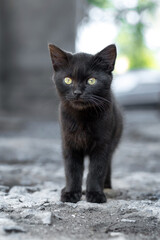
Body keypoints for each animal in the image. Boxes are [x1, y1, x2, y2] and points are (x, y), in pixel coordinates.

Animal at [48, 43, 122, 202]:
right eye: (68, 80)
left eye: (91, 80)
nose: (77, 92)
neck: (82, 117)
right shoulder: (69, 144)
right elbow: (72, 169)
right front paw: (70, 193)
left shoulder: (103, 144)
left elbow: (97, 169)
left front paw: (95, 194)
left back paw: (107, 187)